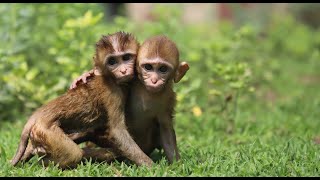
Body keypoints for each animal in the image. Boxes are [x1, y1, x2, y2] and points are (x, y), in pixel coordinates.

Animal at [10, 31, 153, 169]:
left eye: (126, 57)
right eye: (112, 62)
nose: (123, 70)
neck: (110, 78)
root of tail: (37, 114)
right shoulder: (113, 93)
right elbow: (118, 130)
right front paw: (149, 165)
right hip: (46, 130)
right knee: (73, 154)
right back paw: (43, 161)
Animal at [70, 34, 190, 164]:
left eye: (163, 69)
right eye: (148, 67)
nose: (154, 80)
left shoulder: (168, 96)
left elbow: (165, 128)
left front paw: (177, 165)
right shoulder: (115, 88)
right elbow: (118, 129)